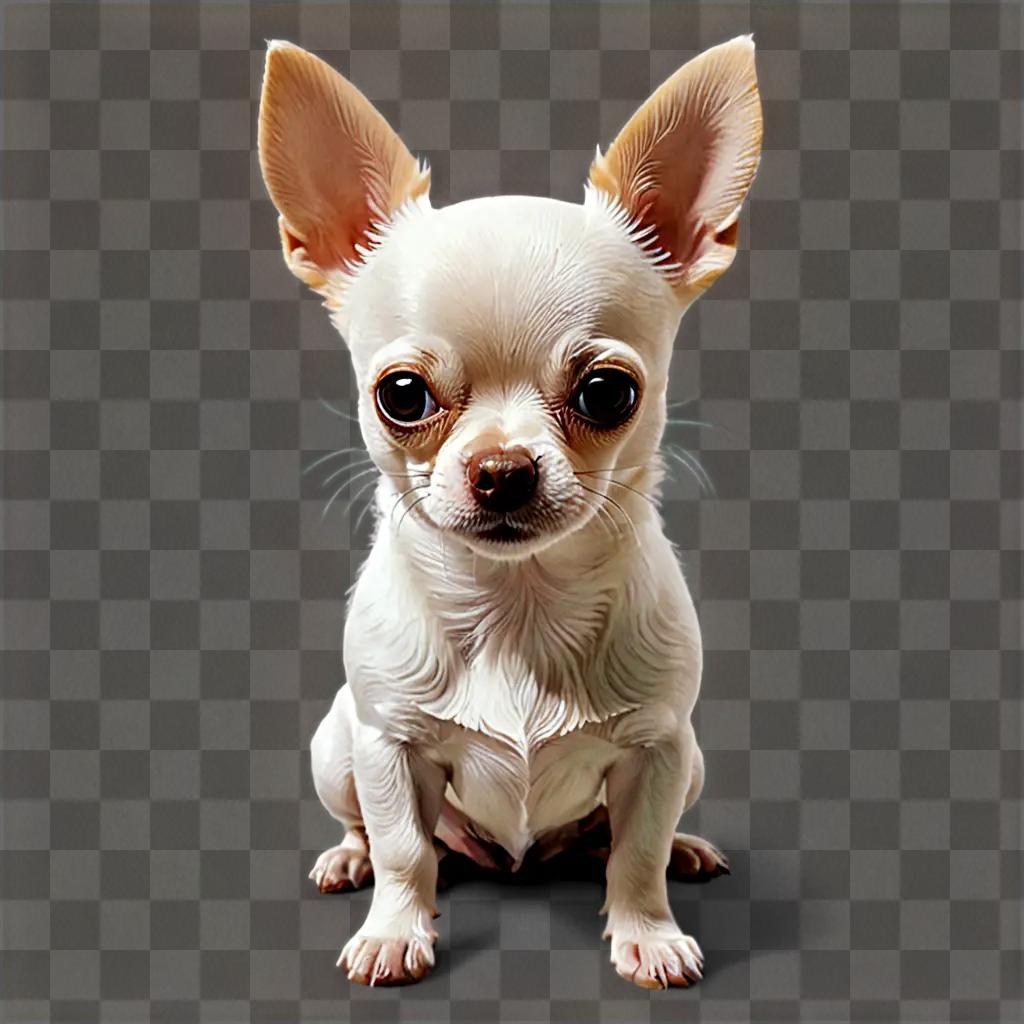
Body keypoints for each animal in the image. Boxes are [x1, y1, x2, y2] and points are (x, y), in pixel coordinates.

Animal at [256, 36, 761, 987]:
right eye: (402, 395)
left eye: (608, 393)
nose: (502, 469)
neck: (518, 606)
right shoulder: (386, 748)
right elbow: (405, 849)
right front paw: (394, 930)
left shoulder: (660, 748)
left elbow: (636, 851)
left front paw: (647, 931)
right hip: (336, 745)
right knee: (374, 829)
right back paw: (347, 859)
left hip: (696, 761)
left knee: (623, 837)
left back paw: (686, 849)